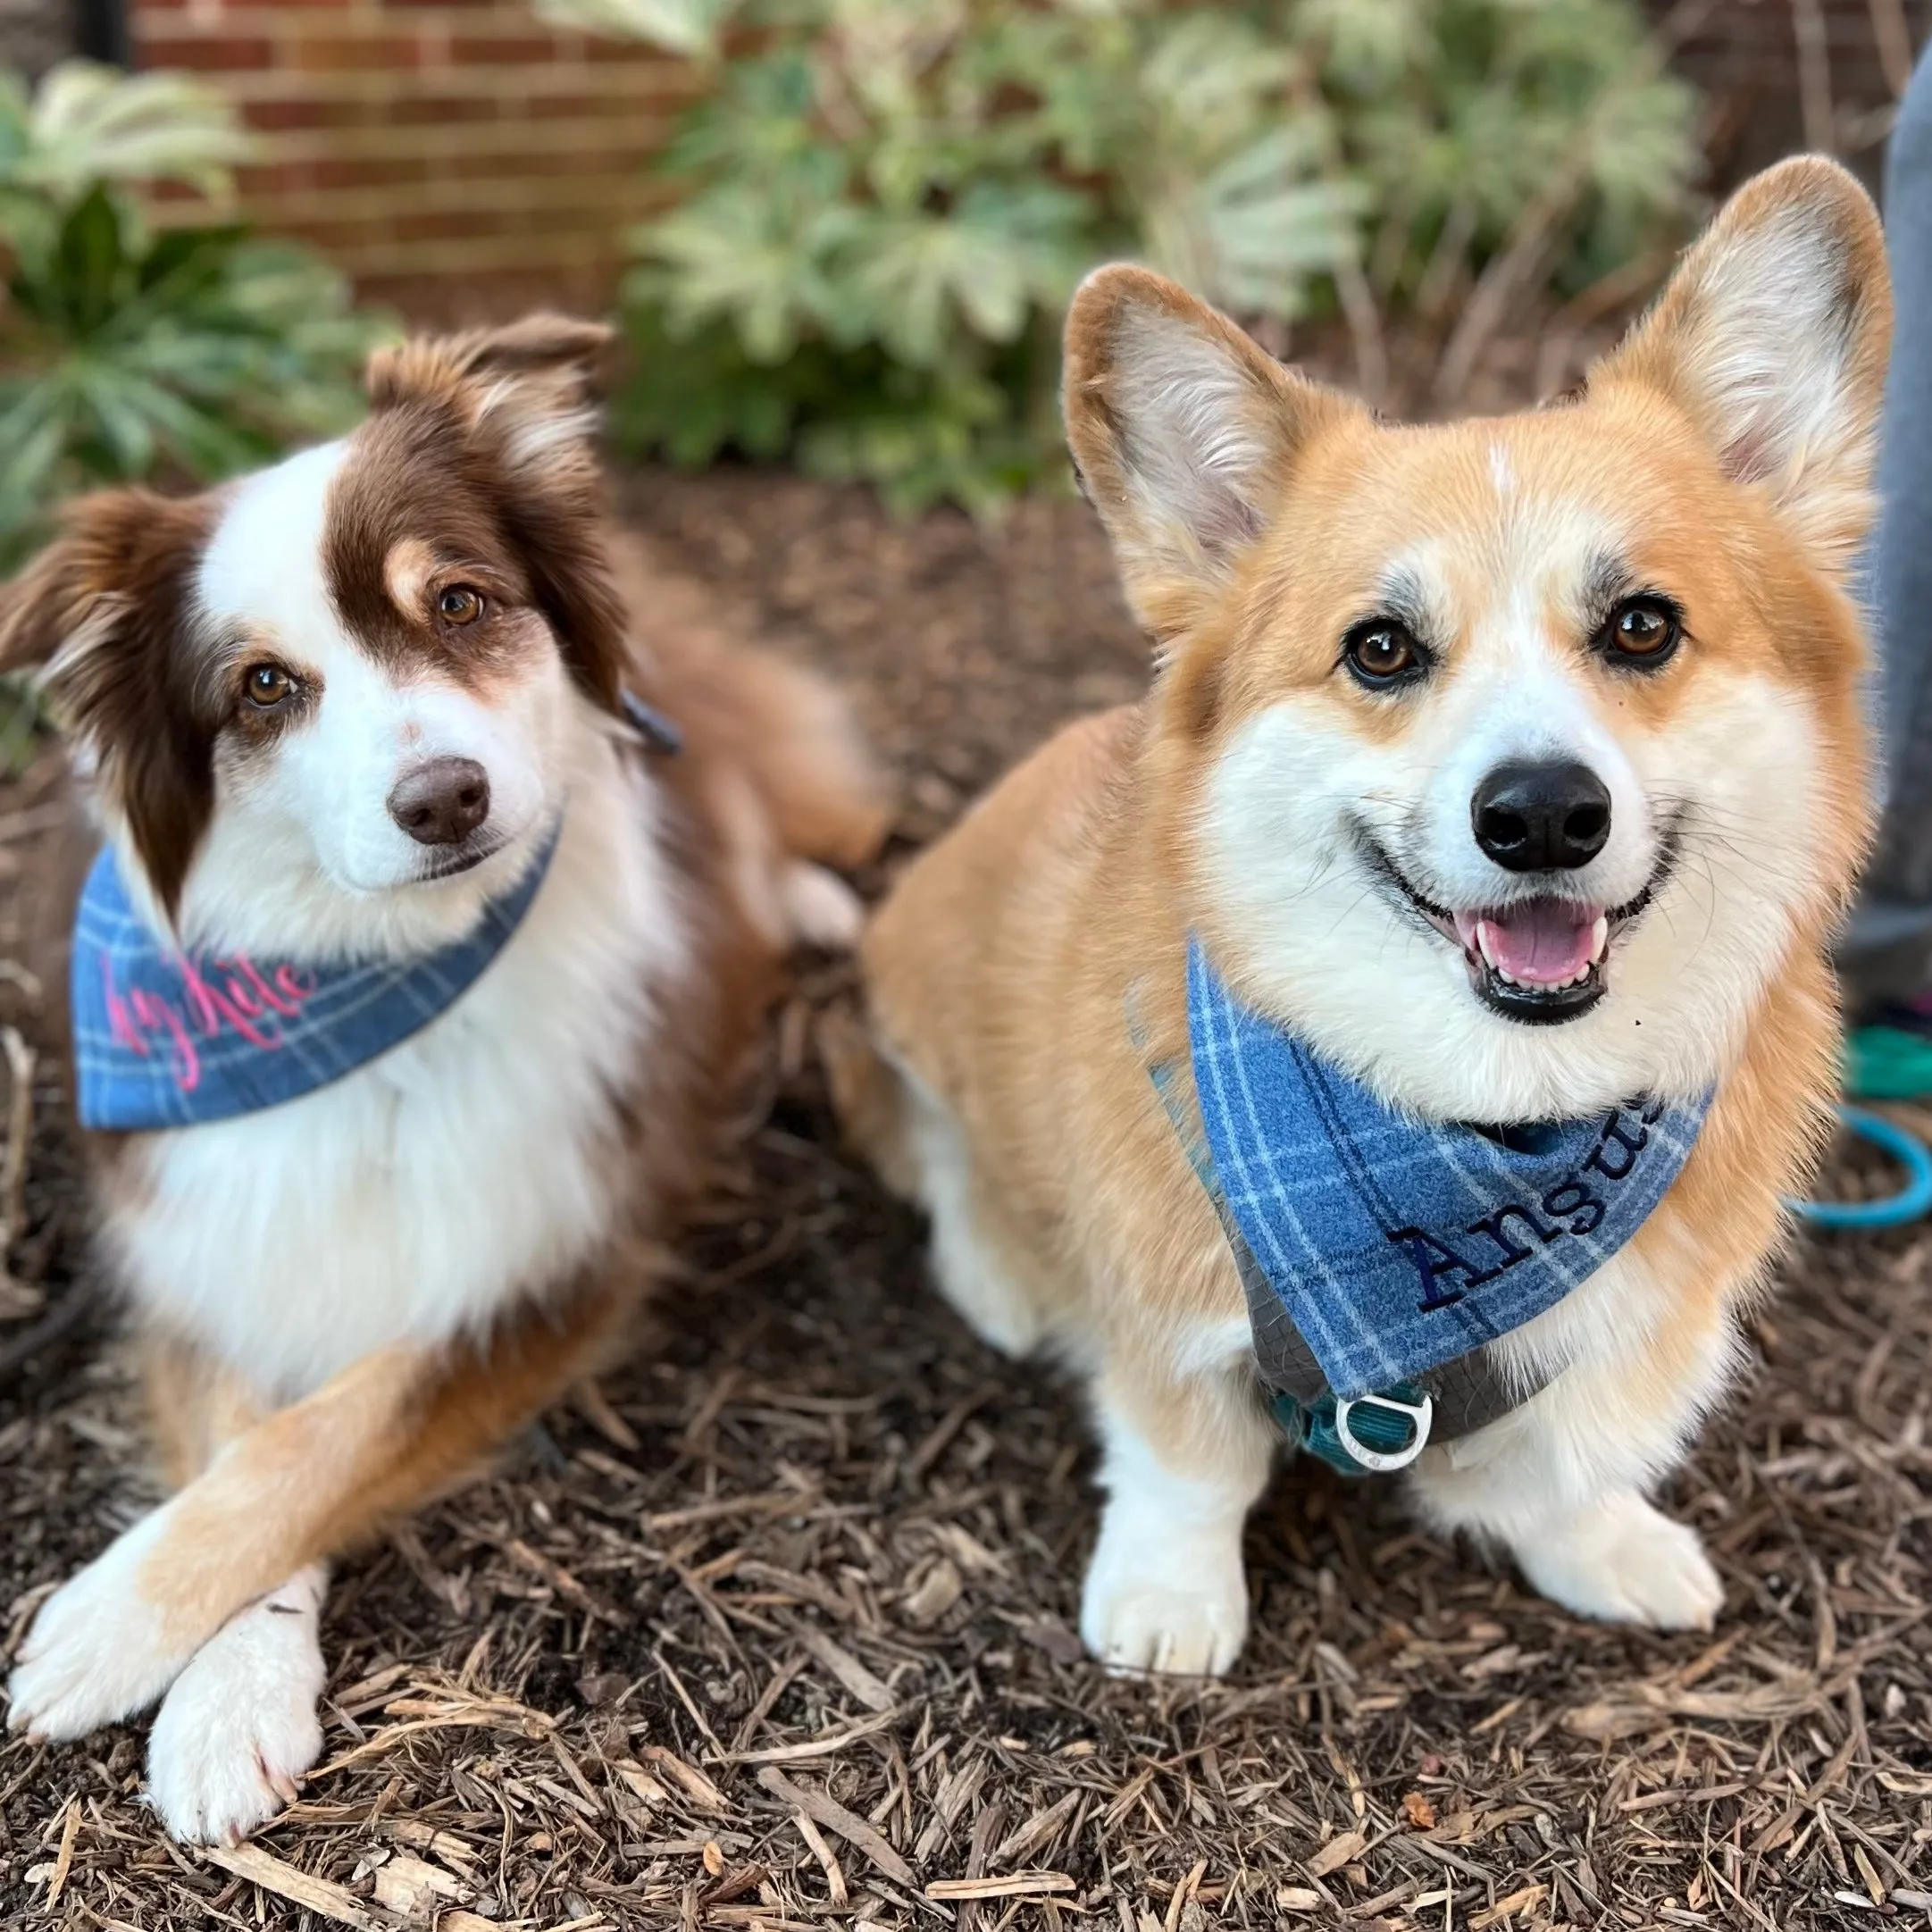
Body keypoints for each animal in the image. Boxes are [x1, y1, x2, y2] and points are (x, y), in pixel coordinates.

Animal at [0, 316, 888, 1839]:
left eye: (462, 602)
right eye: (263, 686)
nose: (446, 798)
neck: (382, 980)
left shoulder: (547, 1254)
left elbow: (323, 1434)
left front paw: (111, 1618)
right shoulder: (210, 1237)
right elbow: (253, 1435)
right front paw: (225, 1685)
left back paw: (814, 905)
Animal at [834, 162, 1886, 1677]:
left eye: (1640, 625)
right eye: (1378, 648)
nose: (1541, 814)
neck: (1483, 1123)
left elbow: (1558, 1461)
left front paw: (1600, 1543)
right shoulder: (1164, 1306)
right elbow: (1183, 1460)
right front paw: (1169, 1601)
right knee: (935, 1148)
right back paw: (995, 1271)